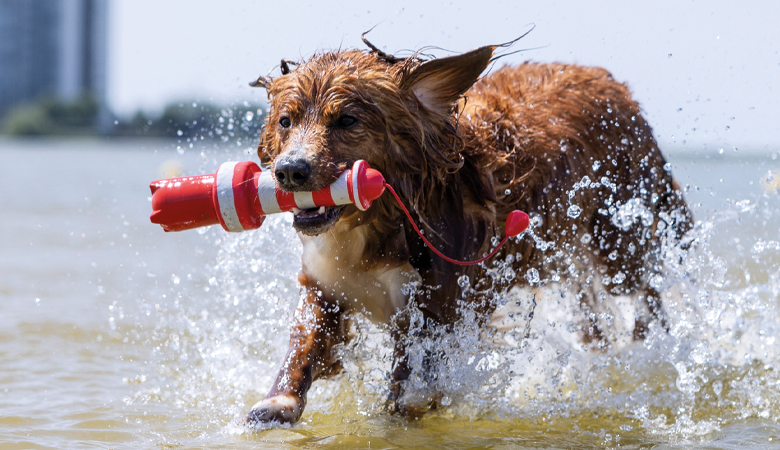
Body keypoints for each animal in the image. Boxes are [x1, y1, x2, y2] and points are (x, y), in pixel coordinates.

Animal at [247, 38, 692, 426]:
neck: (375, 224)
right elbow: (304, 343)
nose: (290, 170)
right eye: (286, 121)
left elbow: (408, 384)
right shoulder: (327, 284)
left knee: (644, 295)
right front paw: (277, 402)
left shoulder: (435, 308)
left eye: (346, 120)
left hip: (616, 241)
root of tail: (613, 84)